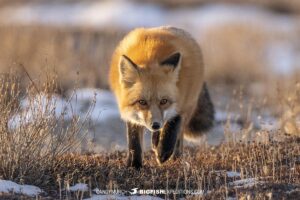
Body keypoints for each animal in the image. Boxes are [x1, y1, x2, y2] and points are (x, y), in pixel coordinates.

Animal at [109, 25, 214, 169]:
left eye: (164, 101)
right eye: (142, 102)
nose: (155, 125)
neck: (150, 56)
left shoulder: (180, 104)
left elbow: (171, 129)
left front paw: (163, 152)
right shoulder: (131, 113)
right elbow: (134, 143)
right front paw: (134, 166)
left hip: (189, 105)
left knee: (178, 136)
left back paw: (175, 158)